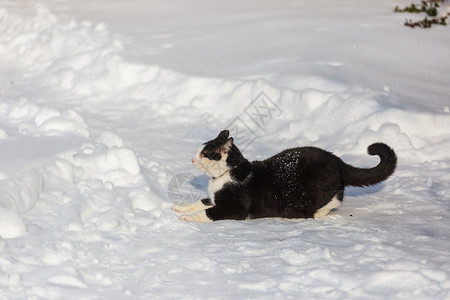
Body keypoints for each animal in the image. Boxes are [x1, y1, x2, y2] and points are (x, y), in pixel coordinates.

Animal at [173, 129, 398, 223]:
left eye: (204, 154)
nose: (192, 159)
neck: (224, 176)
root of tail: (338, 161)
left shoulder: (235, 208)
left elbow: (208, 212)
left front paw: (187, 217)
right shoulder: (214, 198)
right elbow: (201, 202)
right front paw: (180, 207)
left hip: (316, 190)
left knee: (336, 198)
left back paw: (318, 213)